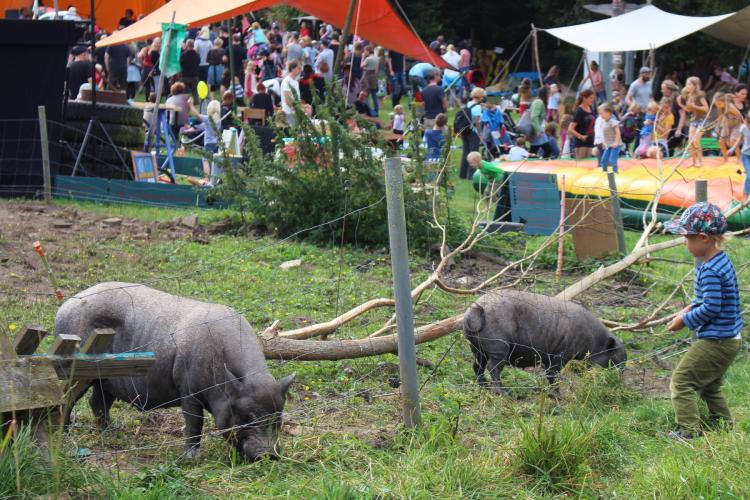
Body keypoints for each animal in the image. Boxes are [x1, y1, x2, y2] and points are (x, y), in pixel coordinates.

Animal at [464, 292, 628, 392]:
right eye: (614, 360)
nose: (620, 382)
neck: (594, 341)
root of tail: (476, 309)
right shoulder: (560, 356)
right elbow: (552, 375)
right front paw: (559, 397)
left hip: (477, 349)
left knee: (477, 366)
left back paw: (485, 388)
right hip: (499, 348)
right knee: (493, 368)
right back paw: (505, 394)